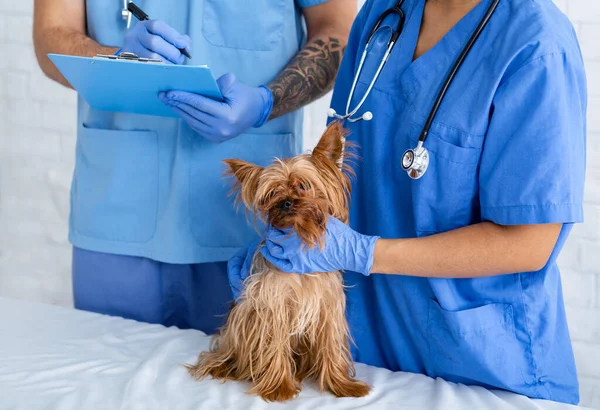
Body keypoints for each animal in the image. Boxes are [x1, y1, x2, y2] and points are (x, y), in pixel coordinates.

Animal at [186, 121, 370, 400]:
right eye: (272, 193)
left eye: (304, 185)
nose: (285, 202)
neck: (302, 242)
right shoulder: (273, 306)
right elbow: (275, 345)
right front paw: (280, 386)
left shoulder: (327, 307)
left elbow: (330, 345)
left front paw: (341, 384)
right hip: (239, 320)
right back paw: (225, 367)